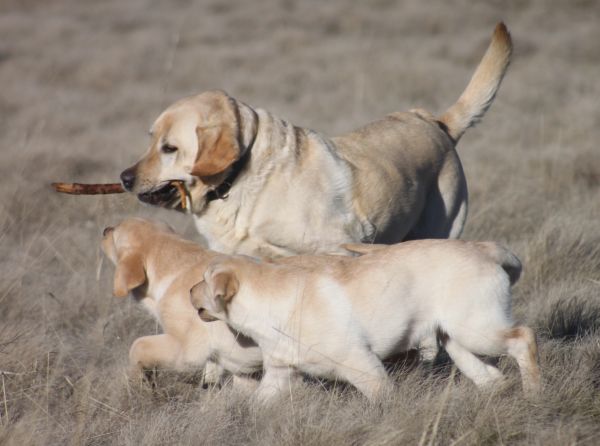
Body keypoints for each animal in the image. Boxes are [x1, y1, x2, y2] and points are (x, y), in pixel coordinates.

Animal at [101, 218, 262, 386]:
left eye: (115, 230)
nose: (104, 230)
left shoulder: (184, 350)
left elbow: (138, 345)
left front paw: (138, 381)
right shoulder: (244, 369)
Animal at [120, 22, 510, 256]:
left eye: (169, 148)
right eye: (151, 139)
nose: (124, 178)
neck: (240, 179)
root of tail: (434, 121)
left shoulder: (340, 246)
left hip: (440, 229)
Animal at [190, 240, 540, 400]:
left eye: (204, 281)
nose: (190, 292)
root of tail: (485, 247)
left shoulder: (362, 364)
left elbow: (382, 397)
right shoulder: (280, 374)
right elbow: (257, 404)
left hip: (477, 330)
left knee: (524, 337)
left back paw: (534, 391)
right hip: (456, 339)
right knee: (489, 375)